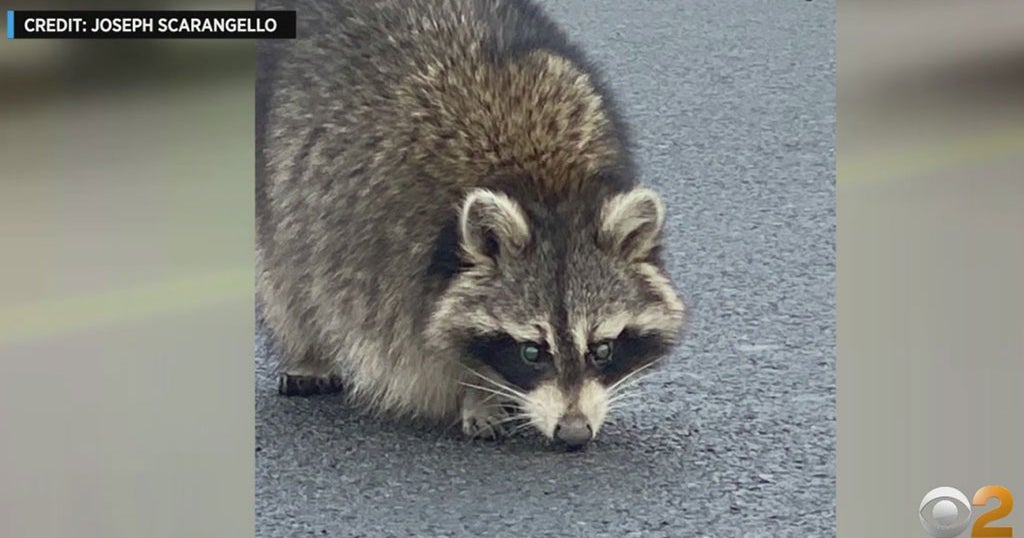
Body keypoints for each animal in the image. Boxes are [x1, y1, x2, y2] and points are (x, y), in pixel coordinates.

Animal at [256, 0, 687, 449]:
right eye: (531, 351)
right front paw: (478, 391)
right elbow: (426, 339)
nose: (573, 433)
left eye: (601, 349)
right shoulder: (395, 253)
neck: (548, 186)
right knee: (289, 267)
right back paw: (307, 351)